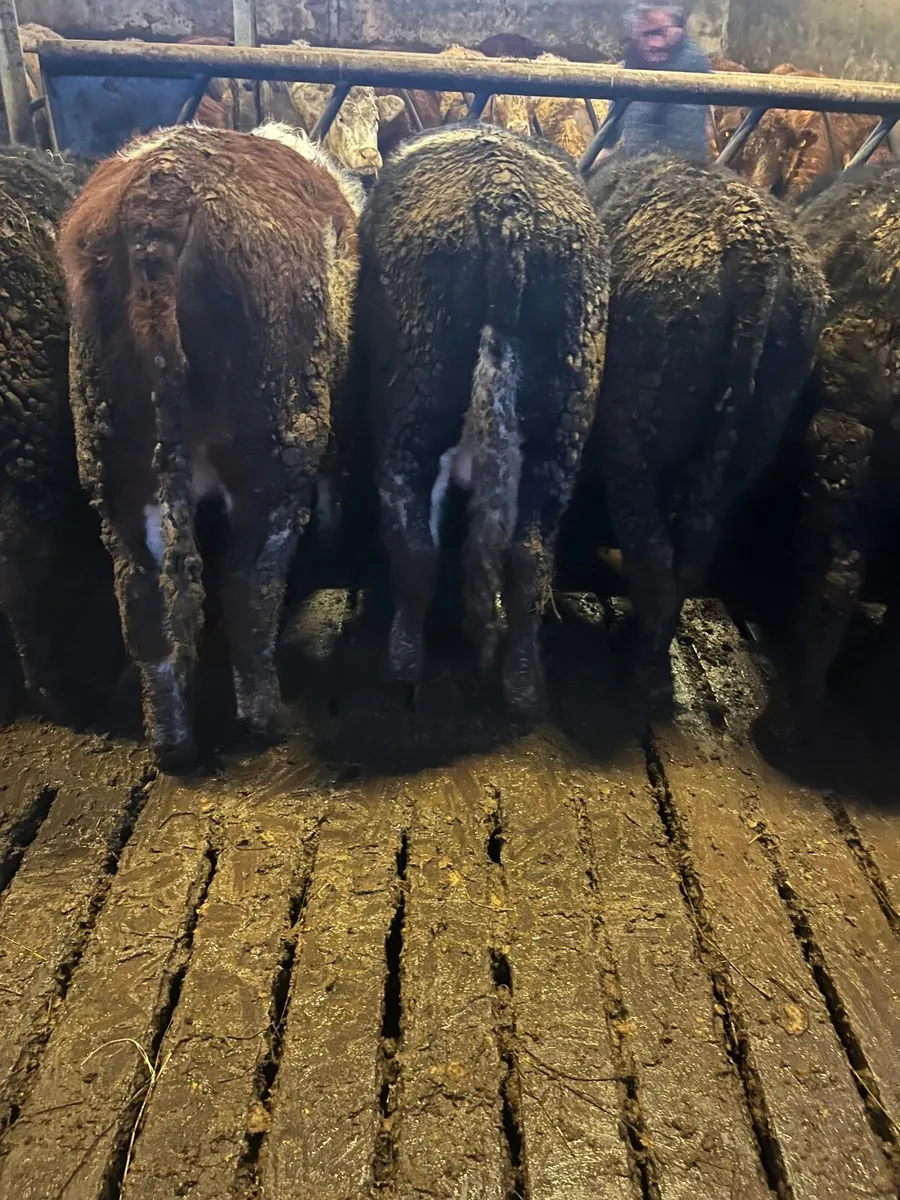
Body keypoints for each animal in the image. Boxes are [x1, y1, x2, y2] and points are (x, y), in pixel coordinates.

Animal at [57, 122, 363, 770]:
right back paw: (266, 719)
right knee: (250, 586)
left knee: (142, 603)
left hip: (112, 464)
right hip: (275, 449)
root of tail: (160, 200)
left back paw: (172, 741)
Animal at [355, 125, 609, 715]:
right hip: (561, 425)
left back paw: (402, 664)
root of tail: (505, 203)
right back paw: (523, 683)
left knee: (414, 542)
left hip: (415, 408)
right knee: (530, 555)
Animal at [583, 155, 828, 711]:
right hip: (755, 433)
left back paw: (647, 676)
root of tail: (757, 260)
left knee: (651, 550)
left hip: (635, 436)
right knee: (695, 553)